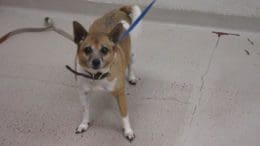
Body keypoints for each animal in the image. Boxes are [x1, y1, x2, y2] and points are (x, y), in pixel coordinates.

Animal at [72, 4, 142, 141]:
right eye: (87, 50)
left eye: (104, 50)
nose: (96, 61)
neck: (97, 76)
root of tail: (119, 10)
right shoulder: (83, 93)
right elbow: (85, 110)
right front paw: (84, 124)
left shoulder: (120, 94)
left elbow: (124, 115)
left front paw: (128, 131)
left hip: (130, 53)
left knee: (130, 64)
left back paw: (131, 77)